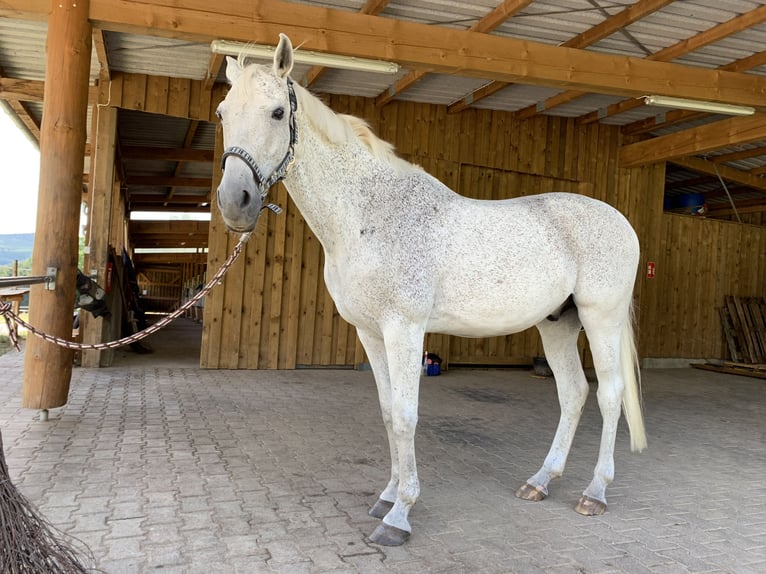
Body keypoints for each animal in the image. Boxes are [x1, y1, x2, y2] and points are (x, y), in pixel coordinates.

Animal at [216, 33, 648, 548]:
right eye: (222, 112)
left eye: (279, 112)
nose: (235, 203)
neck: (370, 215)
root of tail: (620, 221)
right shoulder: (370, 332)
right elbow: (387, 412)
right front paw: (386, 495)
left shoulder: (404, 329)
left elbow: (406, 415)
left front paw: (400, 515)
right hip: (557, 325)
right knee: (574, 393)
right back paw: (540, 482)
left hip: (601, 319)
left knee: (609, 395)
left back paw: (595, 492)